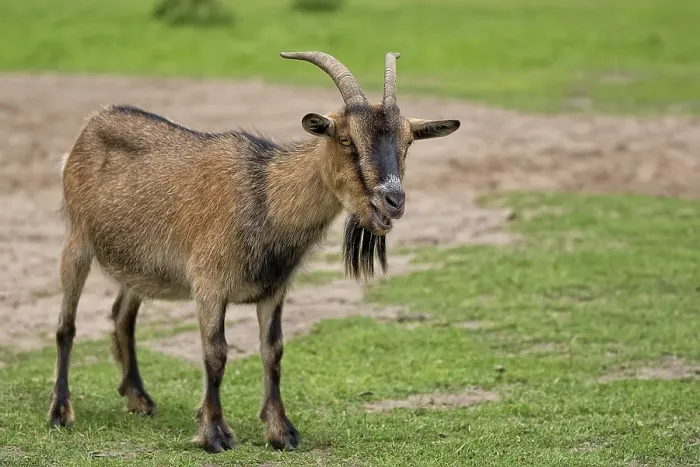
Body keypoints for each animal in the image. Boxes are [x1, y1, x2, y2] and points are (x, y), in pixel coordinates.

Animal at [48, 51, 461, 452]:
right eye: (346, 140)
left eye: (408, 142)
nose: (394, 200)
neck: (265, 194)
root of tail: (93, 122)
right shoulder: (209, 284)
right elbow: (216, 353)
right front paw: (214, 433)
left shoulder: (274, 289)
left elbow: (273, 352)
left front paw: (281, 432)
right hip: (77, 241)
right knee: (67, 325)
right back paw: (60, 412)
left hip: (136, 264)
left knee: (122, 316)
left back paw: (139, 399)